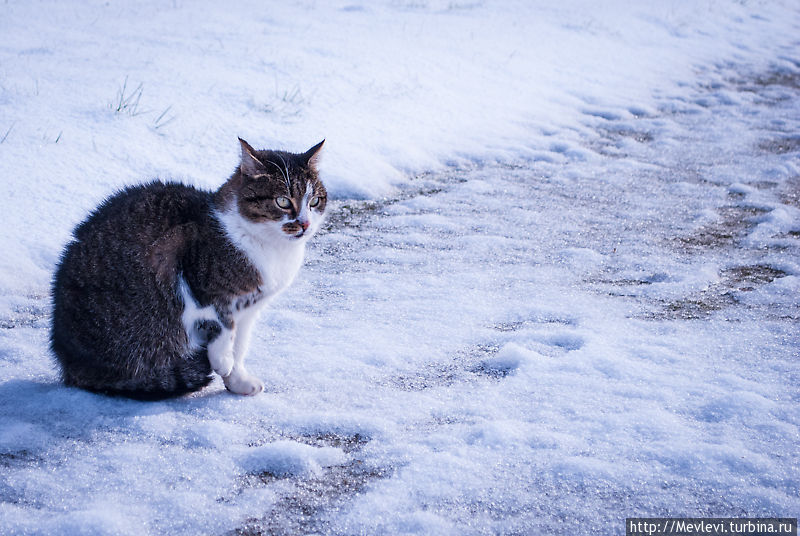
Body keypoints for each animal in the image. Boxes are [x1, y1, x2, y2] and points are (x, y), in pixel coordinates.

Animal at [50, 137, 324, 398]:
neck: (271, 249)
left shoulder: (249, 310)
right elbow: (223, 324)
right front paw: (222, 360)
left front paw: (237, 381)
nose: (305, 224)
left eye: (314, 201)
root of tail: (67, 358)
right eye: (282, 201)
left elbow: (240, 345)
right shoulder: (190, 274)